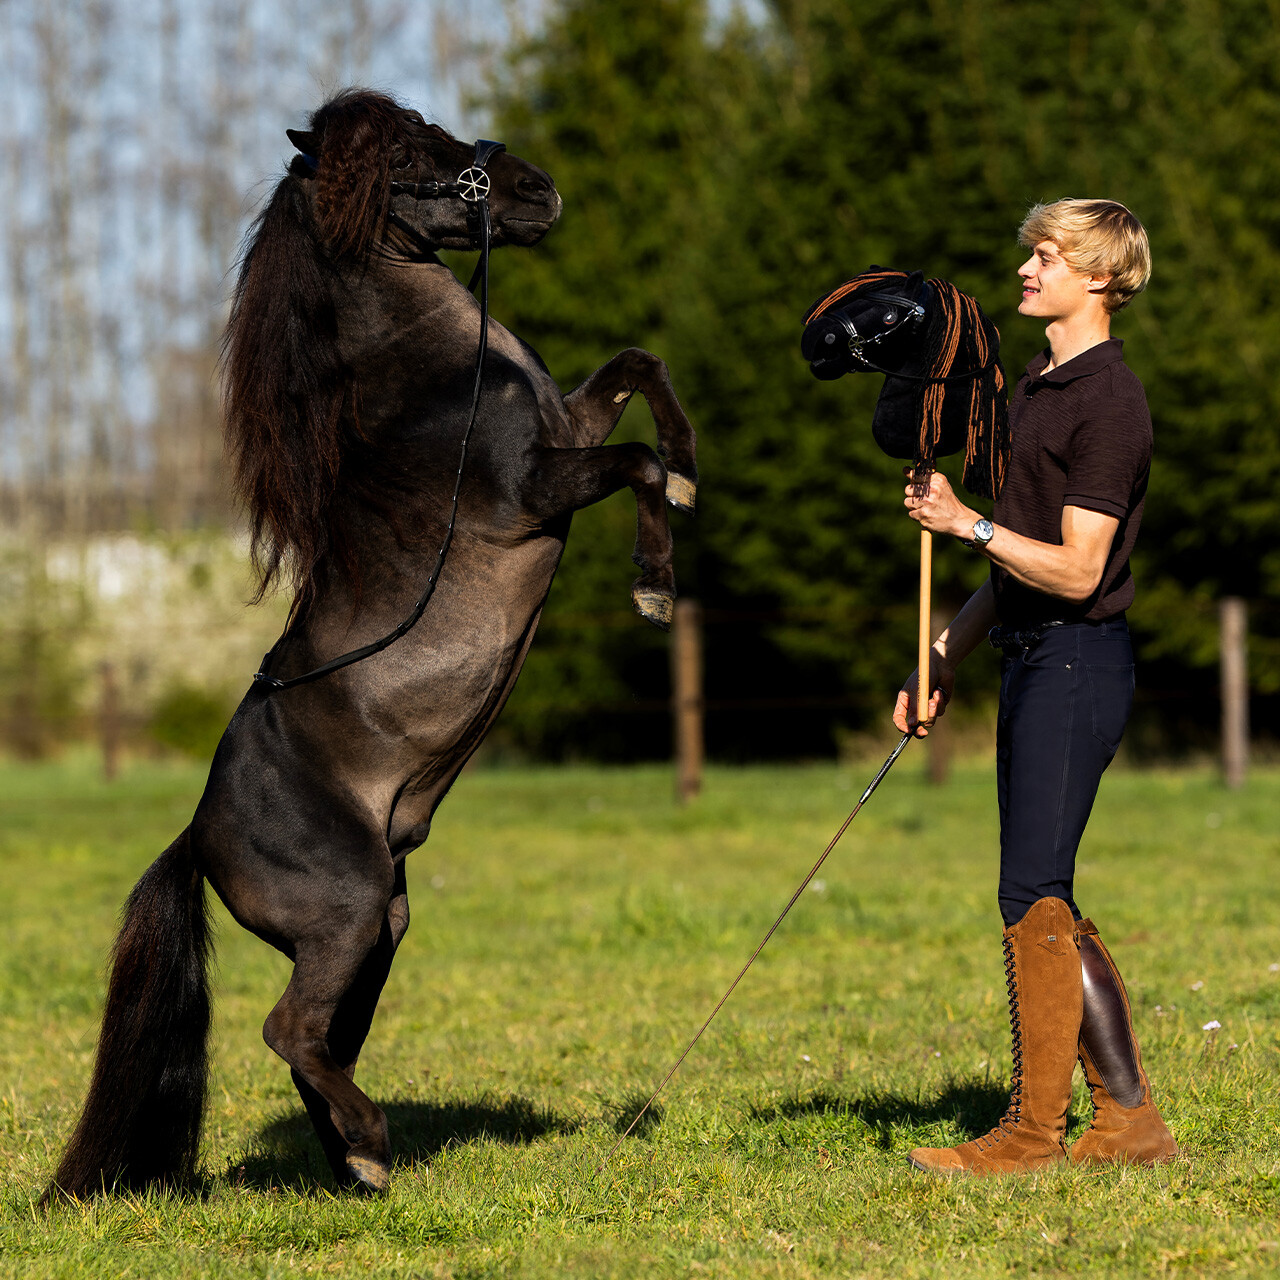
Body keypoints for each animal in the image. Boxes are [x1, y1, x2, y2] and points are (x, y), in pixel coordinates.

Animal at [49, 88, 697, 1199]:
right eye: (401, 156)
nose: (537, 188)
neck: (435, 372)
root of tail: (197, 830)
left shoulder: (567, 427)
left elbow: (638, 370)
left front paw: (695, 465)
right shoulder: (538, 487)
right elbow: (636, 463)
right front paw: (654, 582)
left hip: (375, 926)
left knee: (318, 1041)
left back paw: (354, 1156)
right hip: (350, 908)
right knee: (287, 1030)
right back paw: (372, 1141)